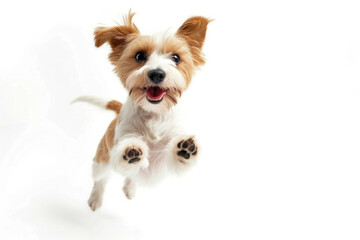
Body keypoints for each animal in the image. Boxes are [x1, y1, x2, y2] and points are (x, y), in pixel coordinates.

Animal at [74, 12, 210, 211]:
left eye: (176, 58)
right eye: (139, 56)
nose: (157, 74)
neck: (154, 114)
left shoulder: (165, 163)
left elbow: (175, 157)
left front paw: (185, 148)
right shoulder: (121, 141)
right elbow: (126, 152)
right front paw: (131, 150)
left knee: (131, 177)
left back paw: (130, 188)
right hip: (101, 162)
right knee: (100, 180)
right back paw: (95, 199)